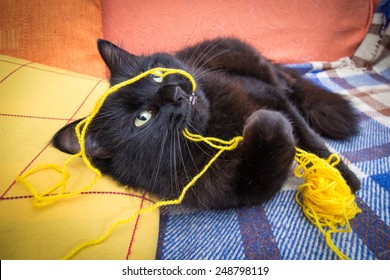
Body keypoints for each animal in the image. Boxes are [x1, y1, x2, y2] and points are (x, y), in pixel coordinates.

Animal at [51, 37, 360, 209]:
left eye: (156, 75)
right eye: (142, 119)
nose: (174, 92)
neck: (216, 122)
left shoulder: (266, 94)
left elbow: (312, 140)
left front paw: (345, 180)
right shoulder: (234, 189)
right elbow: (268, 151)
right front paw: (263, 122)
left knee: (287, 83)